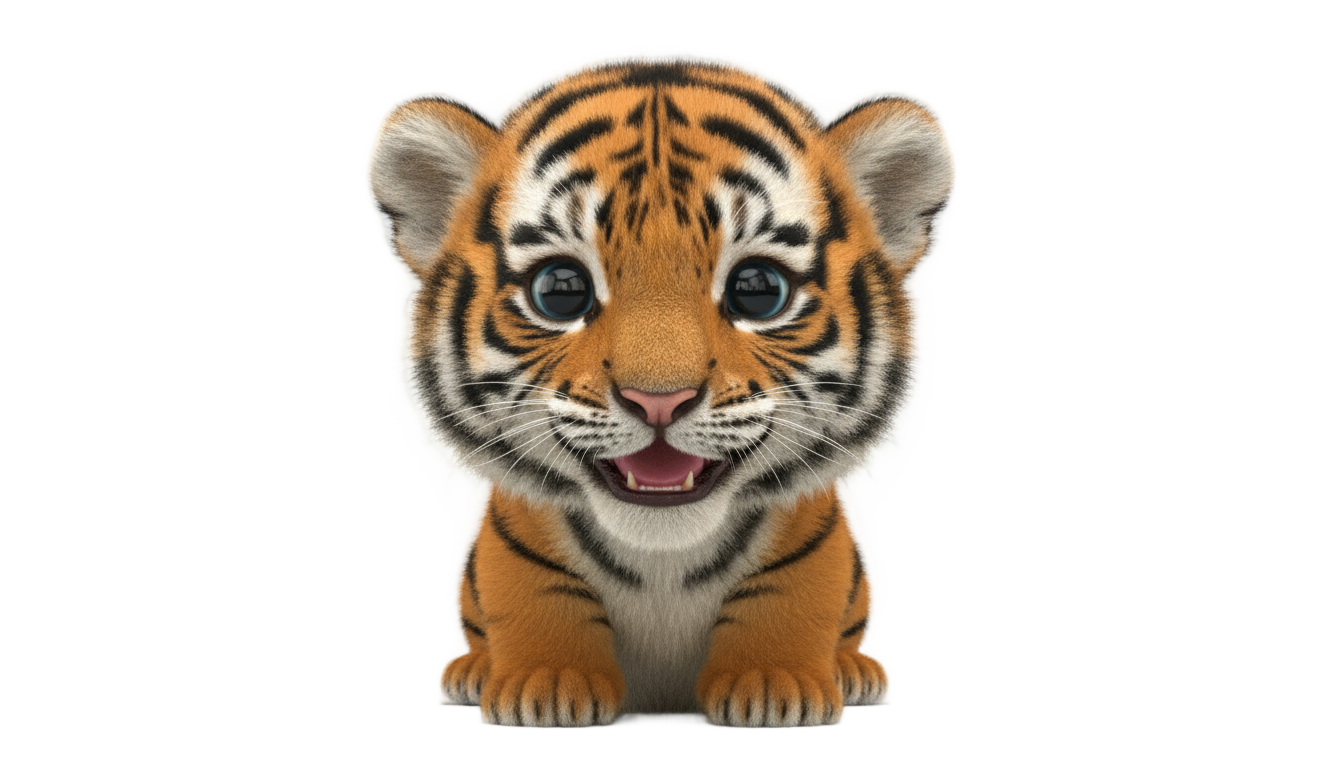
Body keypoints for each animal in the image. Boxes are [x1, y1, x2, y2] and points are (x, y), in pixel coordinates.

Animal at [368, 58, 951, 726]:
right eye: (560, 289)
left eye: (759, 288)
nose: (658, 401)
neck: (663, 561)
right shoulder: (516, 542)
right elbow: (535, 595)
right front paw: (544, 685)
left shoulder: (812, 542)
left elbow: (790, 597)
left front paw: (776, 685)